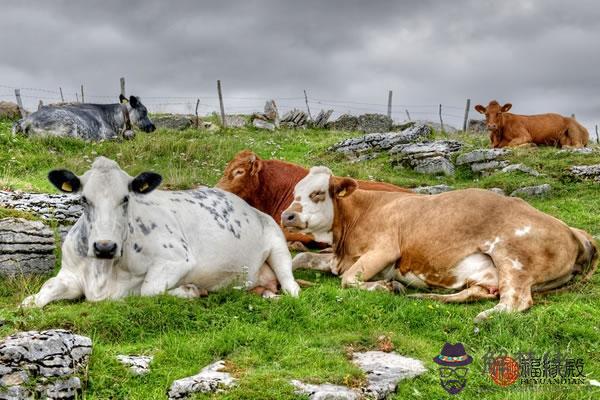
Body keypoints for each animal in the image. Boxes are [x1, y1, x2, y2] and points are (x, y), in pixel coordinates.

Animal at [21, 155, 300, 306]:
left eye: (126, 198)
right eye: (83, 199)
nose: (104, 246)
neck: (103, 273)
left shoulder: (176, 259)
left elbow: (147, 291)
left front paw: (189, 290)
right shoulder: (69, 273)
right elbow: (41, 293)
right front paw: (30, 301)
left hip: (278, 243)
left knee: (291, 285)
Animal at [284, 166, 596, 322]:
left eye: (317, 193)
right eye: (295, 191)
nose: (287, 215)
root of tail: (571, 229)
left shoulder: (385, 249)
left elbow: (348, 279)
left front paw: (385, 286)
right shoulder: (340, 257)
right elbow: (299, 259)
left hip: (514, 259)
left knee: (515, 301)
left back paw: (483, 318)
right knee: (477, 293)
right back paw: (423, 296)